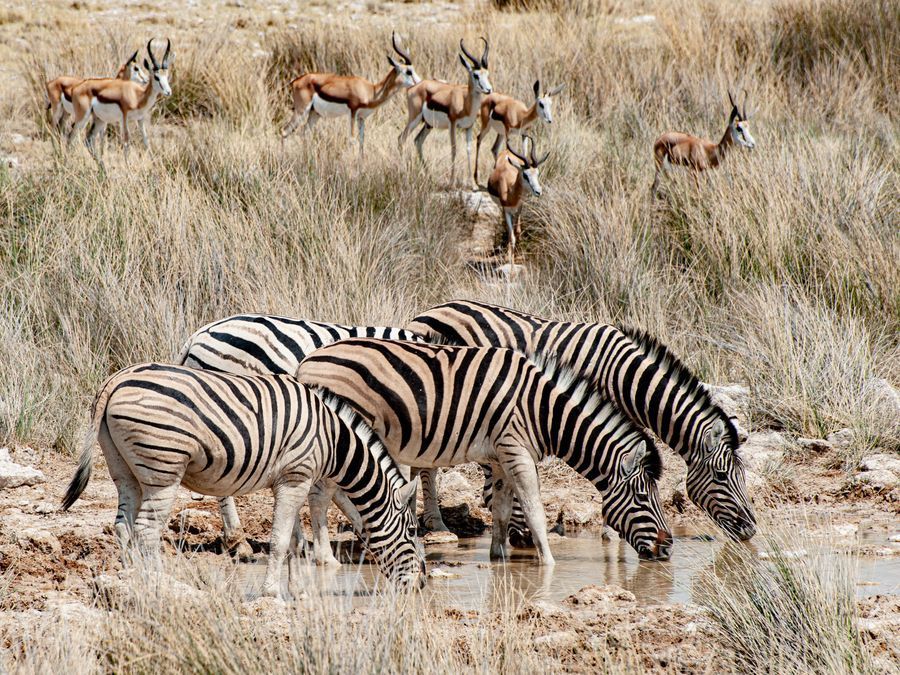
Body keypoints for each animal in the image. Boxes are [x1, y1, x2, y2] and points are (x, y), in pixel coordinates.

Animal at [59, 364, 426, 596]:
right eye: (411, 531)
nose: (421, 585)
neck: (334, 442)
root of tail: (116, 379)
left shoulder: (291, 480)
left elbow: (295, 541)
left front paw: (300, 591)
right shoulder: (297, 477)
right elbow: (280, 541)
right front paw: (272, 592)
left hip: (124, 469)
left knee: (122, 525)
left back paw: (131, 579)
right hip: (163, 468)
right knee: (146, 531)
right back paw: (158, 585)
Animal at [298, 338, 676, 564]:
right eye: (643, 497)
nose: (668, 547)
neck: (544, 410)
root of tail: (308, 360)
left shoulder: (500, 456)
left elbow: (503, 509)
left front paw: (499, 556)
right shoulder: (516, 449)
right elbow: (534, 509)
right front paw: (549, 565)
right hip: (343, 437)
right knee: (320, 496)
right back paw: (325, 559)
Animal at [412, 298, 756, 540]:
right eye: (723, 476)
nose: (751, 530)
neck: (626, 377)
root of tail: (431, 309)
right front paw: (610, 532)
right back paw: (437, 524)